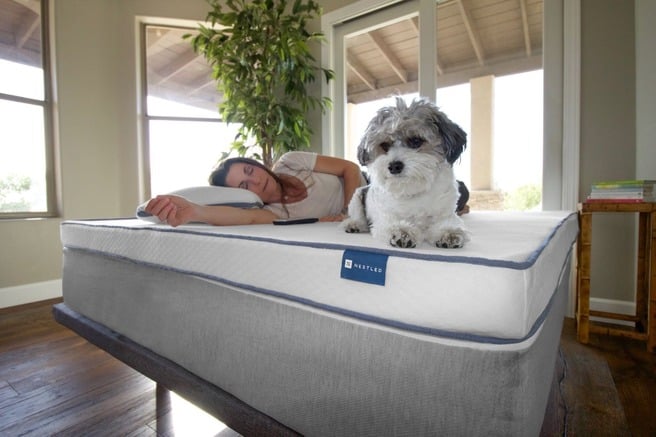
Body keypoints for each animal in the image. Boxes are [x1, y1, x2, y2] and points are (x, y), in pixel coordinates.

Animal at [340, 98, 468, 249]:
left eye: (416, 141)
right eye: (385, 145)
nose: (394, 166)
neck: (413, 190)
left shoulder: (446, 212)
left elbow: (448, 223)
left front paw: (449, 233)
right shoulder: (385, 216)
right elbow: (392, 224)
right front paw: (402, 232)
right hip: (357, 197)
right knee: (358, 216)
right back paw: (354, 224)